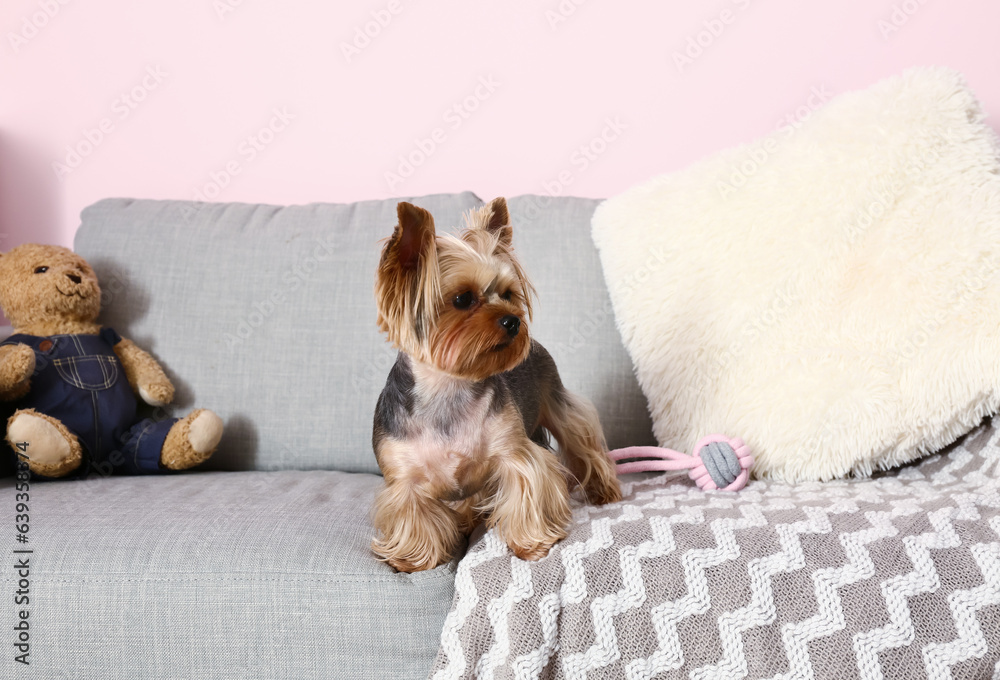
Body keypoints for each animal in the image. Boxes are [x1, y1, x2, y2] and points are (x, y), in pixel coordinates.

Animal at [372, 198, 616, 572]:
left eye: (508, 294)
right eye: (462, 299)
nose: (514, 321)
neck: (449, 387)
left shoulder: (514, 452)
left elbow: (525, 487)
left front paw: (531, 543)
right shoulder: (404, 479)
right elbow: (414, 516)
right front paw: (413, 558)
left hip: (558, 402)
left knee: (582, 443)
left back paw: (604, 490)